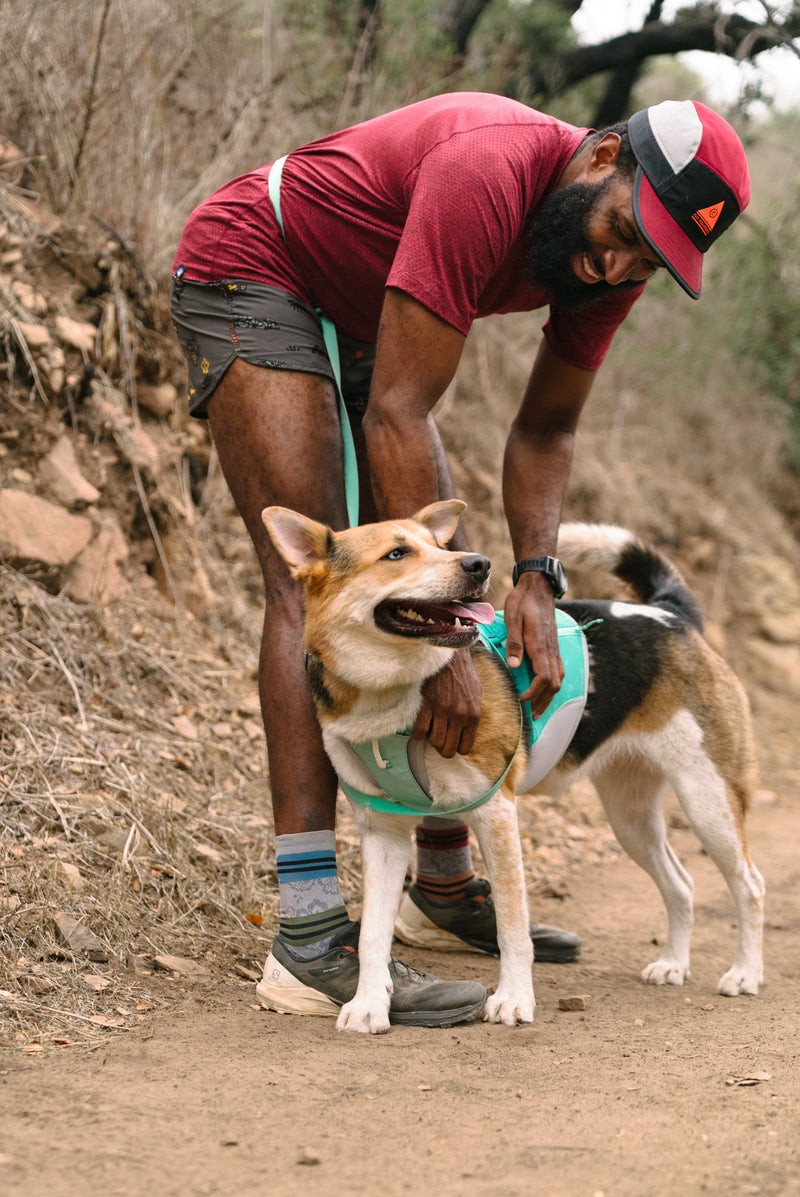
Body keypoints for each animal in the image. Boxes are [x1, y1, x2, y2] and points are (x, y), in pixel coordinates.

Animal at [262, 500, 761, 1034]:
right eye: (396, 554)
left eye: (440, 546)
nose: (478, 564)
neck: (394, 694)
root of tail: (669, 613)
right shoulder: (384, 835)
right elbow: (374, 933)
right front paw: (369, 1004)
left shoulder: (496, 814)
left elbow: (512, 926)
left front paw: (515, 999)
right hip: (632, 820)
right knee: (682, 884)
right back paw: (673, 963)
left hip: (708, 800)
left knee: (750, 885)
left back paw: (745, 973)